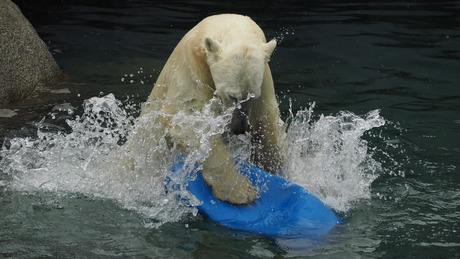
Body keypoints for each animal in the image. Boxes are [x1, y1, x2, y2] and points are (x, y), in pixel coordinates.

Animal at [142, 14, 286, 205]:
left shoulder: (265, 78)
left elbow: (268, 121)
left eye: (252, 96)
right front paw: (240, 191)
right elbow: (189, 120)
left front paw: (276, 167)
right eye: (232, 96)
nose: (239, 128)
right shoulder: (190, 71)